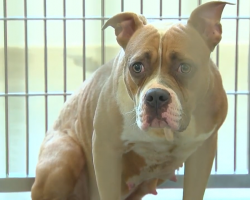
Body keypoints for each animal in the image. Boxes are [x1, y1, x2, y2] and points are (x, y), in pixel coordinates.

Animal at [31, 1, 230, 200]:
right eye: (137, 67)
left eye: (185, 67)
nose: (155, 96)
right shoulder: (105, 150)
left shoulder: (203, 152)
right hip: (65, 155)